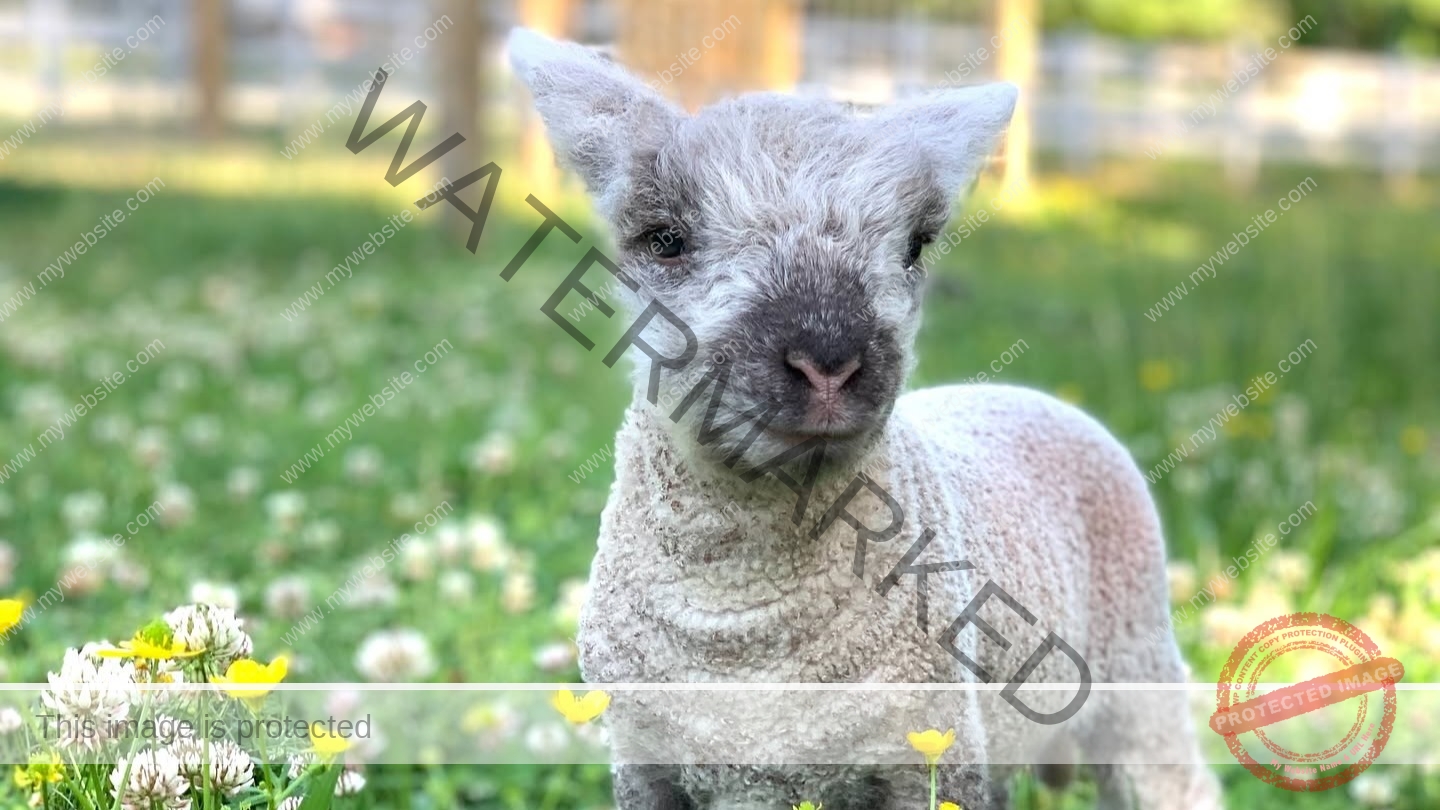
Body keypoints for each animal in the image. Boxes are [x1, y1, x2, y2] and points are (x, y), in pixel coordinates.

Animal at [508, 28, 1223, 810]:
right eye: (665, 238)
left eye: (914, 245)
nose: (828, 360)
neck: (743, 634)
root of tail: (1037, 395)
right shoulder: (644, 761)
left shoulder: (933, 748)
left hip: (1135, 663)